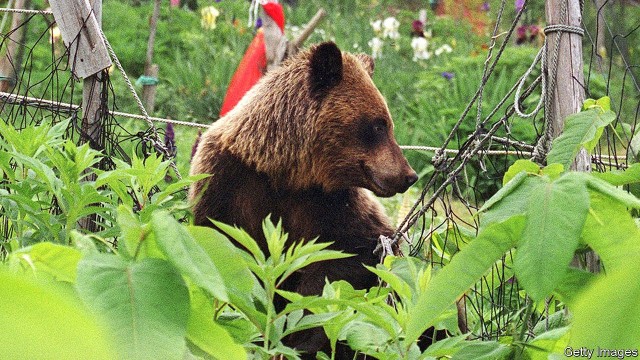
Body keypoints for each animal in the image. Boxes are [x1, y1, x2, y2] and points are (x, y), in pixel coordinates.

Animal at [189, 40, 420, 356]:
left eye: (387, 123)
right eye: (378, 125)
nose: (409, 175)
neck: (287, 172)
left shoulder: (331, 204)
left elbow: (349, 257)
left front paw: (298, 331)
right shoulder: (227, 183)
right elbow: (224, 248)